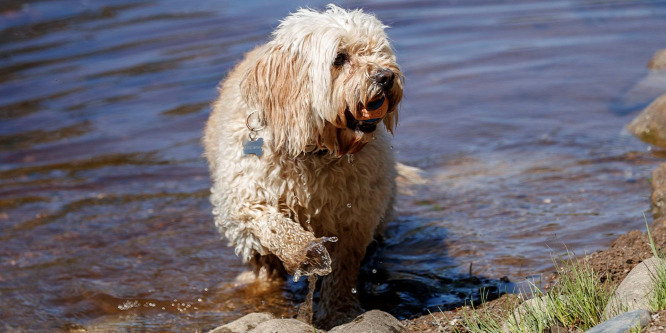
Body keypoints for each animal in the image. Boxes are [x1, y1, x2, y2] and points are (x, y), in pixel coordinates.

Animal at [200, 4, 402, 326]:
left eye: (379, 51)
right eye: (339, 58)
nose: (386, 76)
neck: (316, 151)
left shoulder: (357, 217)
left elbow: (343, 271)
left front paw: (340, 312)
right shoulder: (240, 198)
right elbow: (269, 222)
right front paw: (302, 250)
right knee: (264, 268)